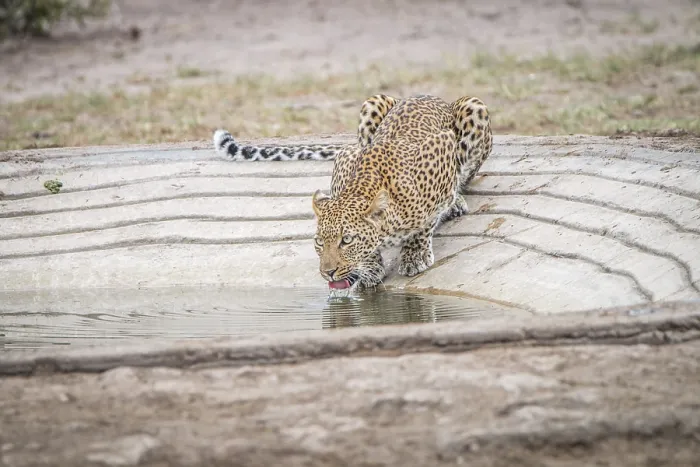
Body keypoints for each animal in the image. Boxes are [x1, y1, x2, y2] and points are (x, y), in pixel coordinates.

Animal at [213, 93, 492, 291]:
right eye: (319, 241)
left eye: (346, 240)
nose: (328, 272)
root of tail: (434, 97)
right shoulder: (345, 158)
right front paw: (370, 266)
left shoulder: (441, 147)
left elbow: (427, 219)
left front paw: (415, 255)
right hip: (372, 103)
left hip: (474, 106)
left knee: (464, 176)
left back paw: (456, 202)